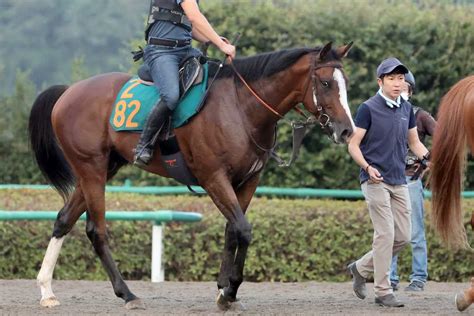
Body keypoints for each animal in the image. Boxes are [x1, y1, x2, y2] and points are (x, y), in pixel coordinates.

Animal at [28, 40, 356, 310]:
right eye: (325, 82)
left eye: (346, 84)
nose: (346, 131)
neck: (241, 108)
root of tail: (69, 92)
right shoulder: (214, 178)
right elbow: (243, 229)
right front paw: (230, 290)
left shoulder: (247, 181)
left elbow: (232, 231)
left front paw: (224, 290)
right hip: (92, 169)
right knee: (96, 230)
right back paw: (127, 294)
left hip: (102, 170)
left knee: (64, 219)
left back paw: (46, 291)